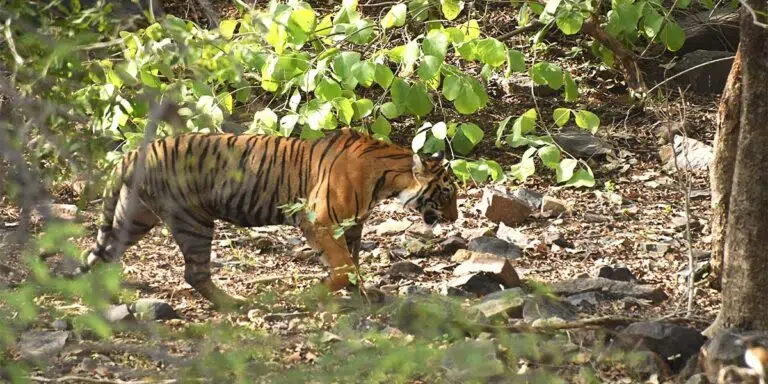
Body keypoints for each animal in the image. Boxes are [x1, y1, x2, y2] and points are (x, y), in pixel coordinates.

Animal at [78, 128, 460, 308]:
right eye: (446, 193)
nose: (455, 217)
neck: (385, 178)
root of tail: (131, 153)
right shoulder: (318, 221)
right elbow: (343, 265)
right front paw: (314, 295)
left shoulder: (351, 226)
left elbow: (352, 262)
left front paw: (362, 294)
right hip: (193, 220)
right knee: (194, 272)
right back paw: (233, 304)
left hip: (134, 217)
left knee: (103, 254)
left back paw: (102, 296)